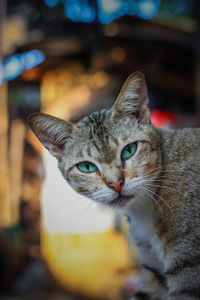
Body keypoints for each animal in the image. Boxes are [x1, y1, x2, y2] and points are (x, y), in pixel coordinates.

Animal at [27, 72, 200, 300]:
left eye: (129, 150)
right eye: (86, 166)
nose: (116, 183)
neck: (145, 209)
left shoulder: (188, 272)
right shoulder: (153, 274)